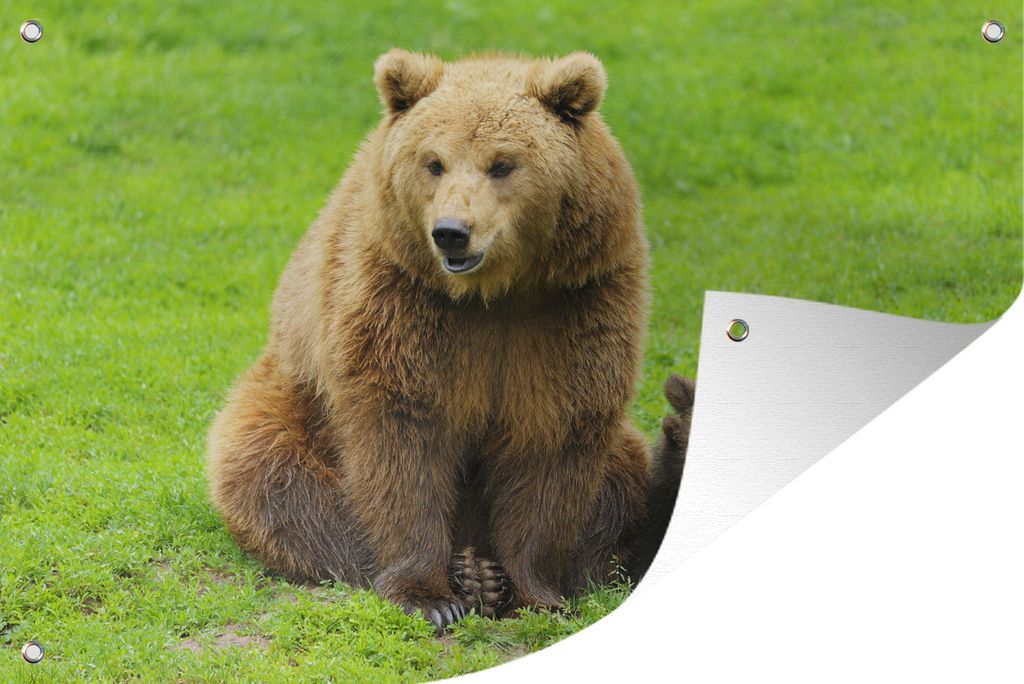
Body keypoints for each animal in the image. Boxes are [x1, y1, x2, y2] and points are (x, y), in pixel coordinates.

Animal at [206, 49, 693, 632]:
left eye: (502, 164)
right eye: (433, 162)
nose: (452, 232)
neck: (494, 294)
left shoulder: (575, 306)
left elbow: (553, 439)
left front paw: (535, 593)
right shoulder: (402, 299)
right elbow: (403, 435)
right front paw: (430, 596)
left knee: (621, 488)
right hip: (288, 402)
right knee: (272, 475)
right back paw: (464, 571)